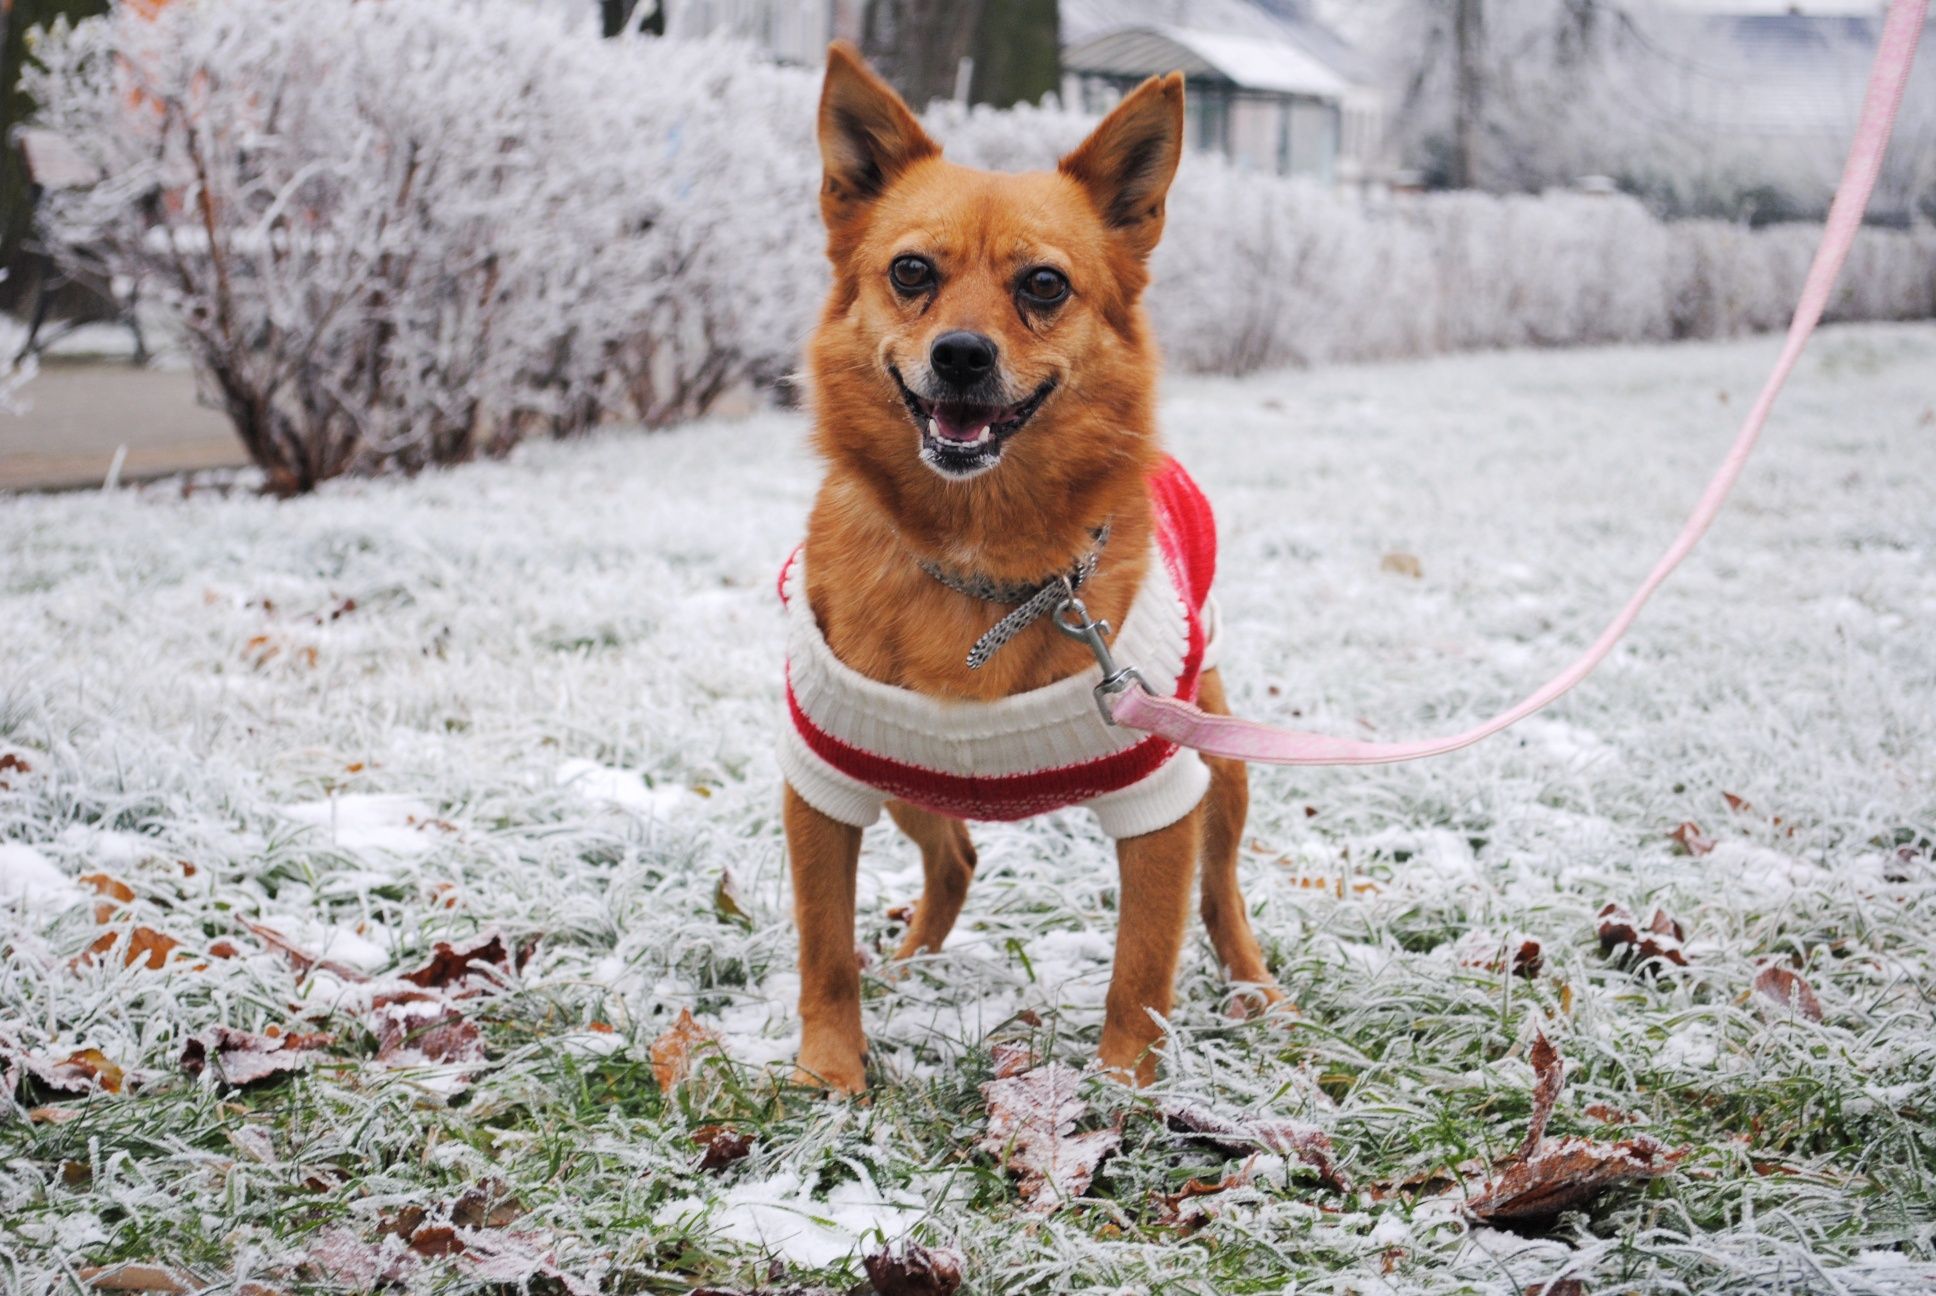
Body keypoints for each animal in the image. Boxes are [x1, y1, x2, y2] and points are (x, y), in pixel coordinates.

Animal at [778, 42, 1277, 1092]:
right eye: (911, 271)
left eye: (1044, 285)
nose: (962, 356)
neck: (978, 557)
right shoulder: (825, 782)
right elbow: (823, 946)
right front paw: (831, 1072)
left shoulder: (1160, 800)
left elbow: (1142, 968)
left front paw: (1124, 1089)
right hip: (903, 780)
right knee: (955, 858)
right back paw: (912, 964)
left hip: (1219, 758)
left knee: (1221, 893)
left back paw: (1256, 989)